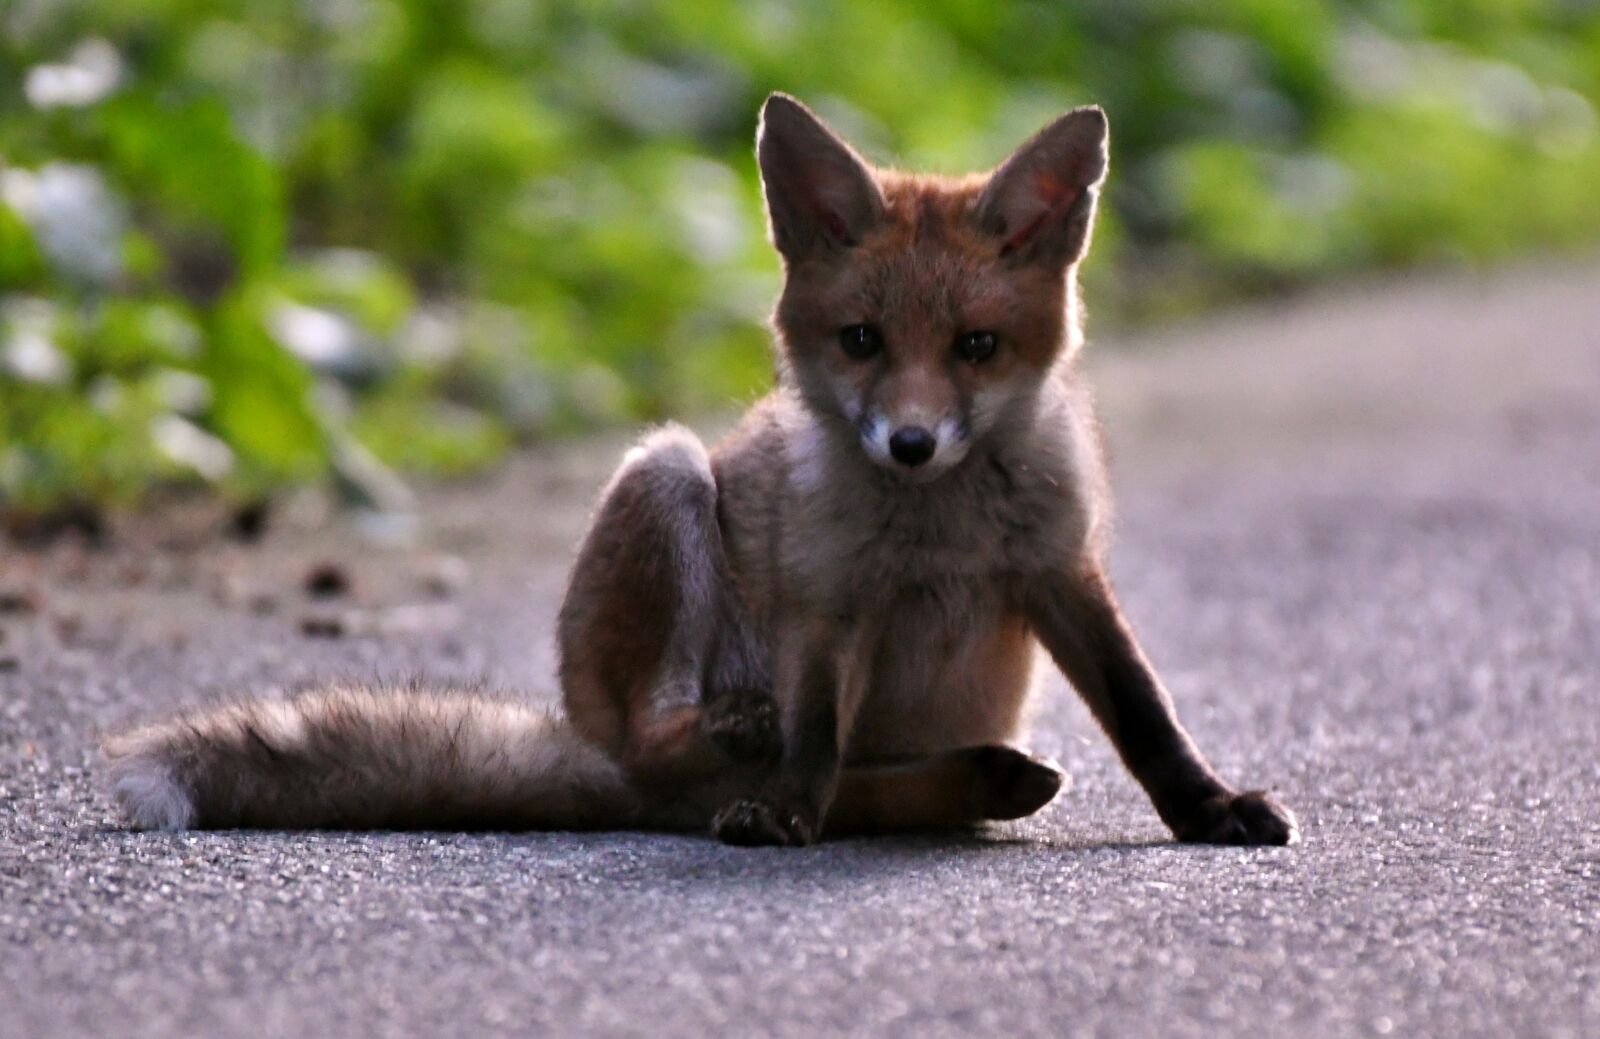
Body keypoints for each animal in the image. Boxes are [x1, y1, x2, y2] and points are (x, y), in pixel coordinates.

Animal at [105, 94, 1298, 847]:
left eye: (976, 348)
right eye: (861, 341)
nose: (910, 444)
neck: (938, 536)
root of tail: (605, 768)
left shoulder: (1060, 568)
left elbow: (1146, 713)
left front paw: (1208, 810)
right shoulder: (827, 601)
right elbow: (814, 734)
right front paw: (784, 808)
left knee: (863, 792)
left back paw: (970, 778)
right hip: (665, 481)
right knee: (690, 747)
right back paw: (746, 751)